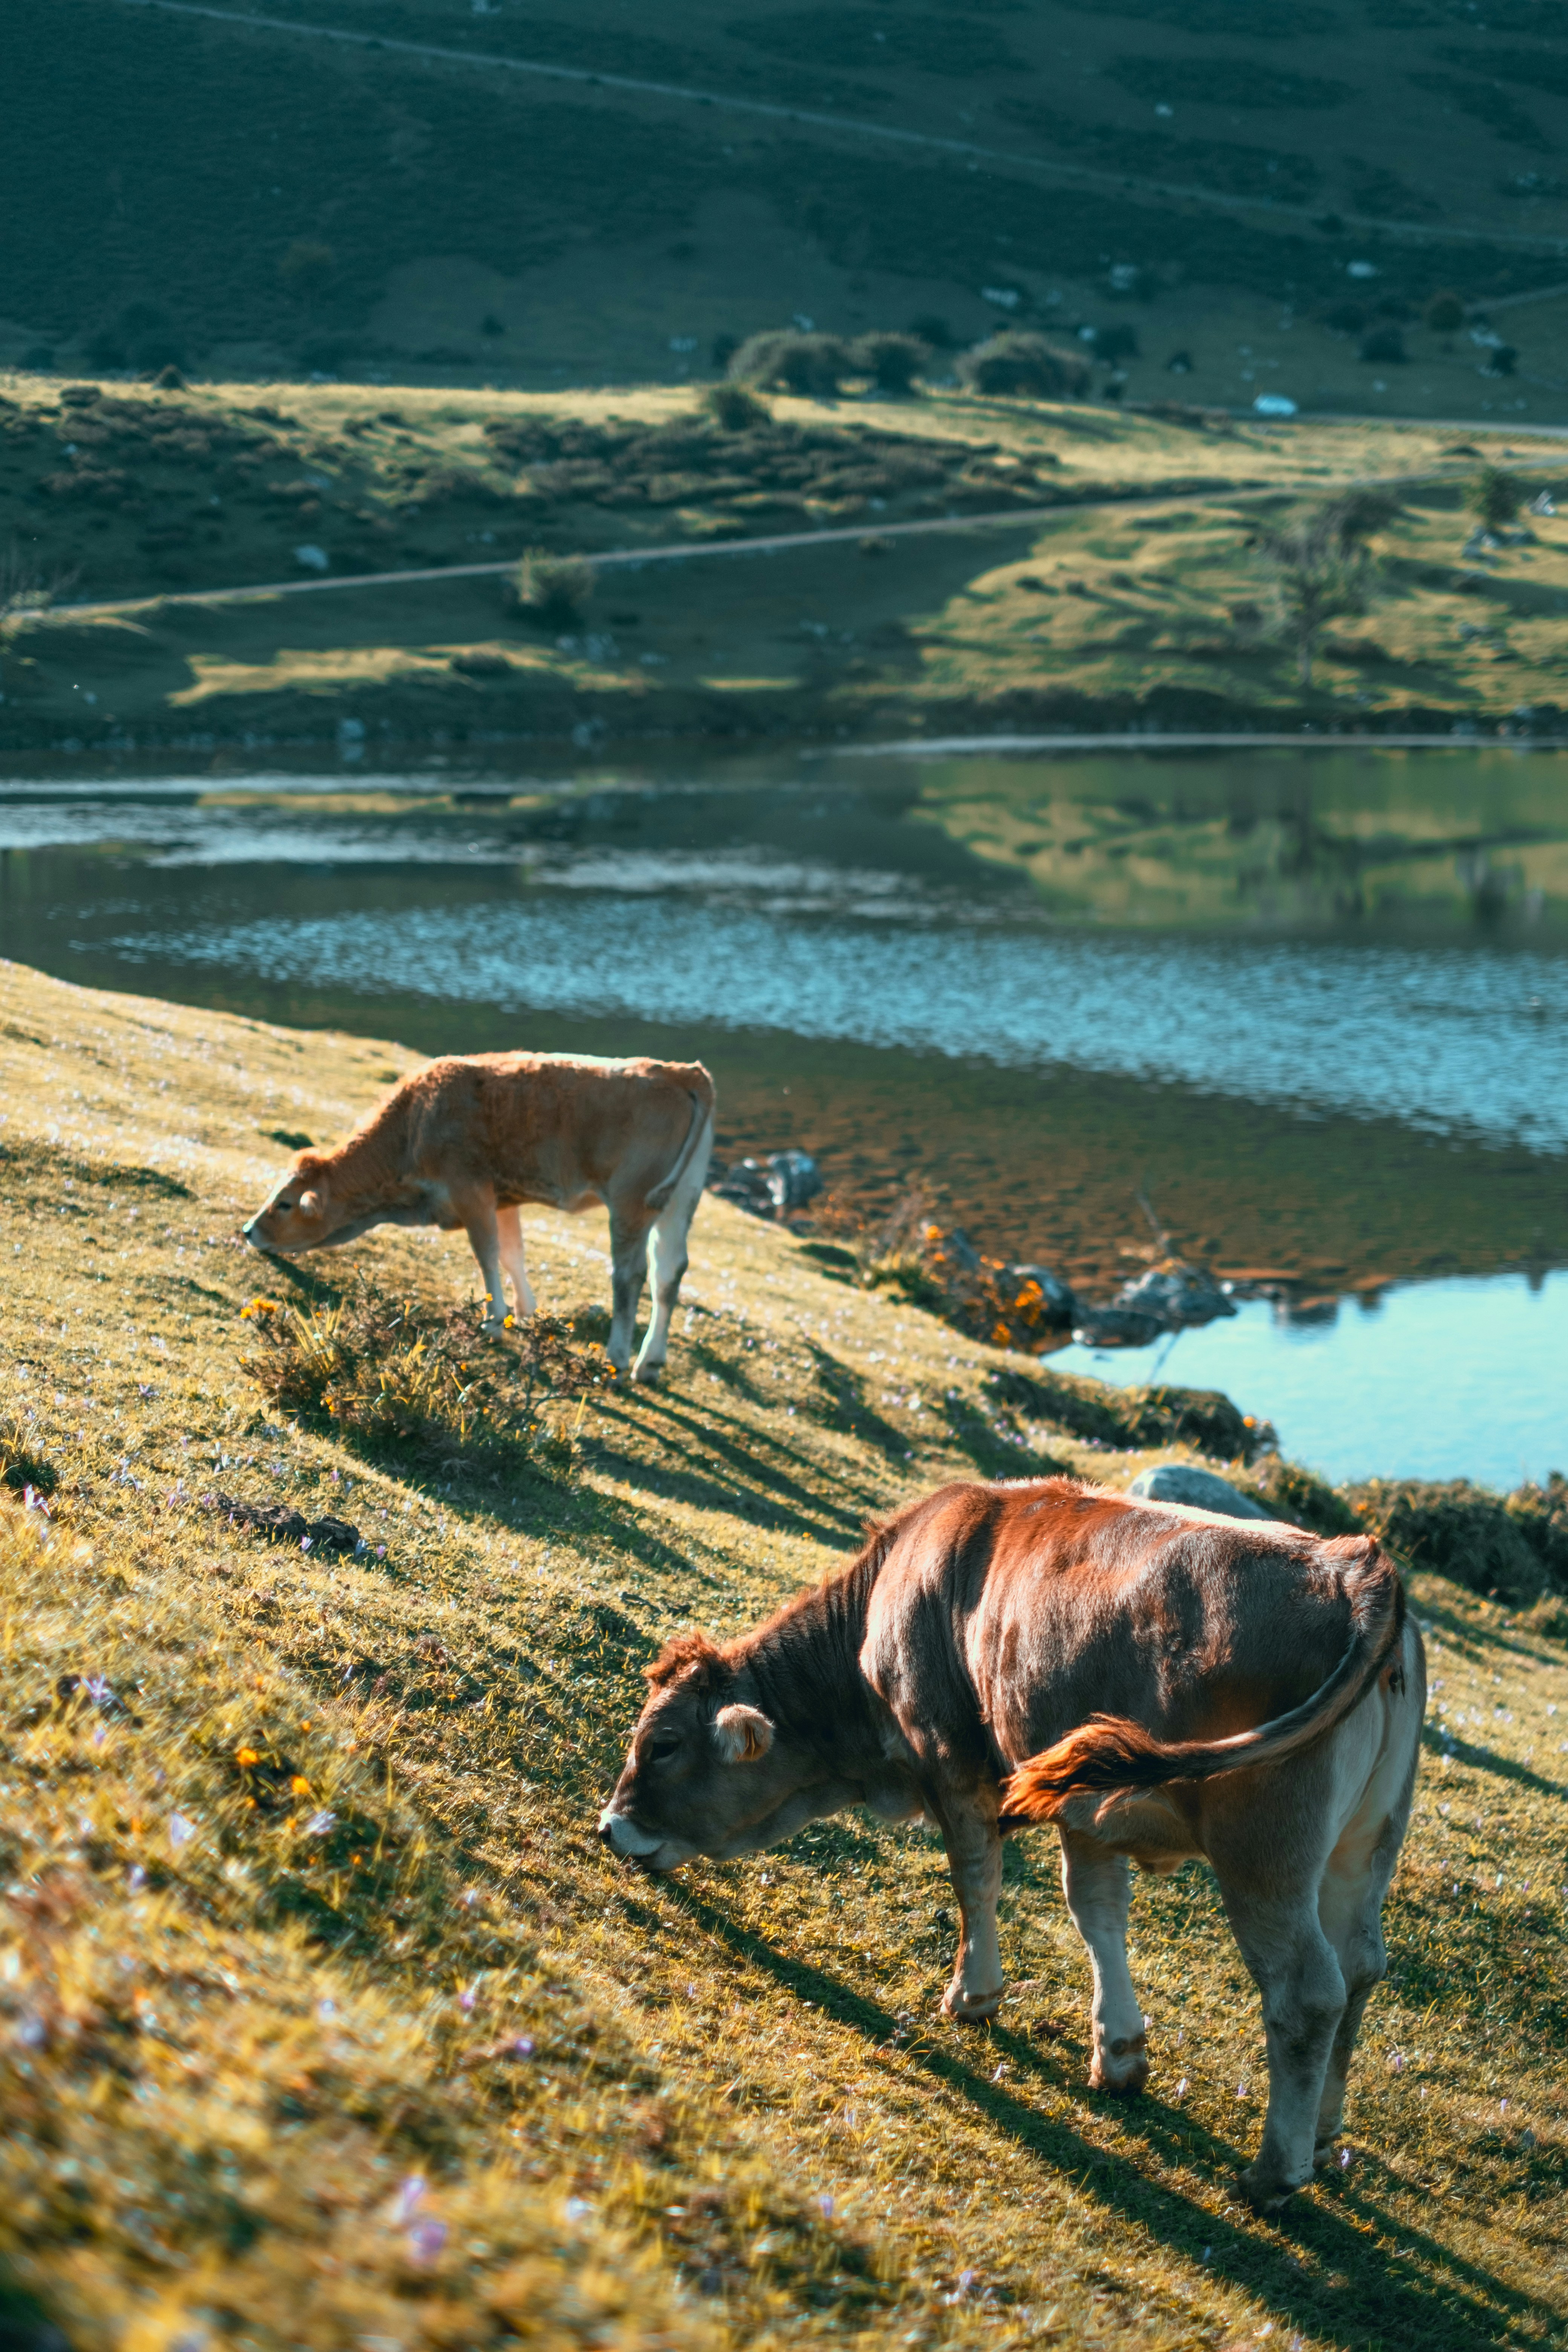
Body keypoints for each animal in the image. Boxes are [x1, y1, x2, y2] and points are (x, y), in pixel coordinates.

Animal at [242, 1051, 714, 1381]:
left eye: (284, 1203)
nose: (248, 1230)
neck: (413, 1127)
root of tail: (684, 1073)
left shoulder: (469, 1190)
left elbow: (486, 1254)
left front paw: (493, 1322)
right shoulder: (502, 1198)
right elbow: (512, 1253)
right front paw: (524, 1312)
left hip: (631, 1201)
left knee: (629, 1275)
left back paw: (617, 1360)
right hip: (682, 1198)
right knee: (669, 1273)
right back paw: (649, 1364)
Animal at [598, 1476, 1424, 2211]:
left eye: (663, 1744)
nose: (609, 1826)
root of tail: (1353, 1564)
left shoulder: (951, 1762)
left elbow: (976, 1879)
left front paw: (973, 1996)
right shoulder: (1088, 1813)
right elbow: (1096, 1915)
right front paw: (1118, 2054)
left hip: (1265, 1846)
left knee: (1306, 1991)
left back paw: (1273, 2174)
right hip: (1363, 1845)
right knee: (1360, 1967)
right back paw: (1323, 2135)